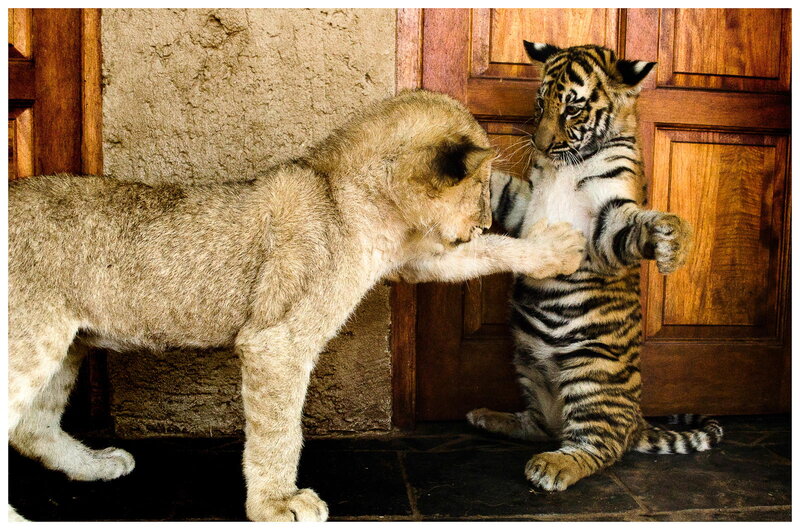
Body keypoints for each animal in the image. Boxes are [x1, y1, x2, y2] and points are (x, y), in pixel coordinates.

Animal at [467, 42, 723, 492]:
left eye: (572, 109)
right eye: (540, 103)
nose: (539, 145)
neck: (566, 164)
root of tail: (637, 422)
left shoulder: (605, 225)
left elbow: (631, 231)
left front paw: (672, 243)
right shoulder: (525, 203)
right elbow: (503, 188)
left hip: (591, 373)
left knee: (598, 446)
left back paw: (554, 467)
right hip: (527, 365)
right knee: (541, 426)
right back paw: (487, 416)